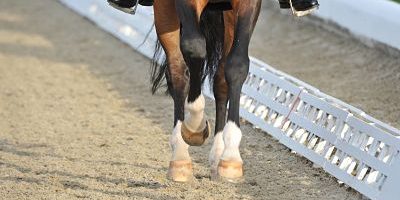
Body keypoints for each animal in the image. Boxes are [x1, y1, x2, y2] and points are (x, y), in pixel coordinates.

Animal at [152, 0, 260, 181]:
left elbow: (237, 65)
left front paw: (231, 156)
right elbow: (194, 48)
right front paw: (194, 127)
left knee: (220, 80)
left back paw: (217, 156)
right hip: (164, 11)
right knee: (177, 72)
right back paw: (180, 157)